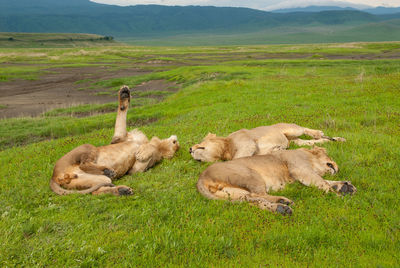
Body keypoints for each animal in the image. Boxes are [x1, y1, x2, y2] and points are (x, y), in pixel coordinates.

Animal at [50, 87, 180, 196]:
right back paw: (110, 173)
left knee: (96, 189)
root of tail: (53, 176)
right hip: (88, 147)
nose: (176, 142)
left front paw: (143, 153)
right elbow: (121, 113)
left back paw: (121, 188)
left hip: (96, 179)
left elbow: (149, 151)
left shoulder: (135, 170)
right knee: (84, 164)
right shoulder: (120, 138)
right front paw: (124, 93)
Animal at [197, 147, 356, 216]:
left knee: (251, 200)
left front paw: (346, 186)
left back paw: (281, 208)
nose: (338, 167)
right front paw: (339, 196)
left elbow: (326, 180)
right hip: (250, 174)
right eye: (329, 156)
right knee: (257, 195)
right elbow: (323, 182)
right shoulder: (300, 169)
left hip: (232, 193)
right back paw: (284, 201)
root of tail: (201, 177)